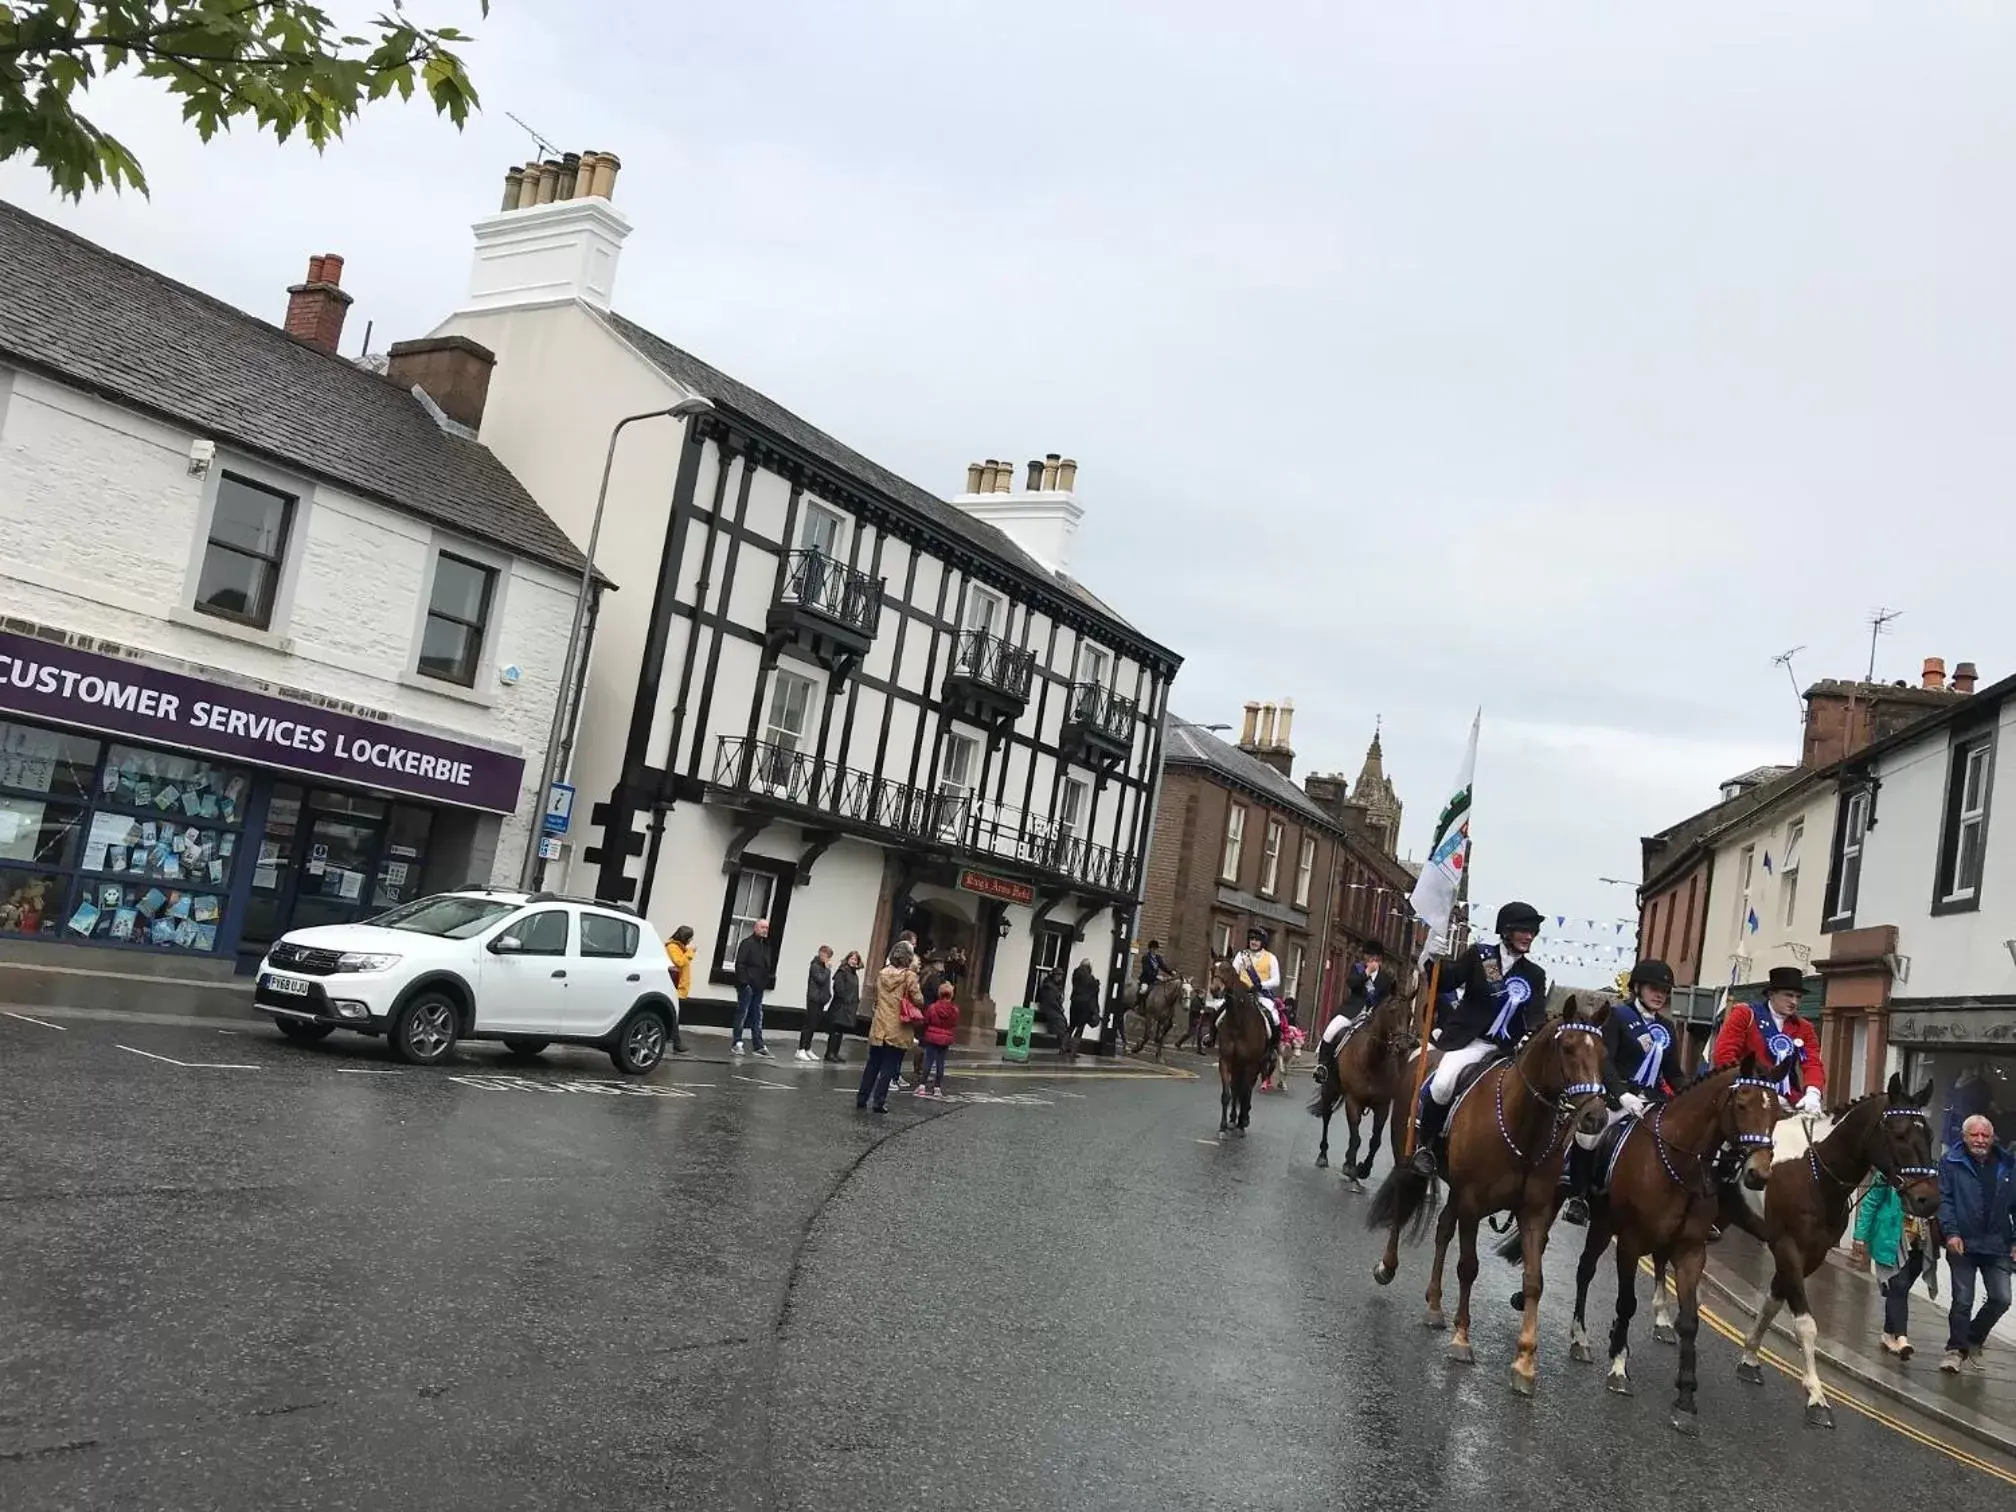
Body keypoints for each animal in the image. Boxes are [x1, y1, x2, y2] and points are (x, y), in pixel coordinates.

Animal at [1209, 963, 1257, 1128]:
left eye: (1228, 970)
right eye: (1213, 969)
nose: (1215, 989)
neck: (1238, 1023)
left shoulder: (1249, 1064)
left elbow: (1245, 1092)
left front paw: (1242, 1121)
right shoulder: (1225, 1060)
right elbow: (1227, 1094)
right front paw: (1223, 1125)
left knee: (1246, 1090)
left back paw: (1243, 1117)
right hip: (1237, 1065)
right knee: (1236, 1088)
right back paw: (1234, 1116)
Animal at [1306, 971, 1419, 1193]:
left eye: (1410, 1015)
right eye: (1392, 1011)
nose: (1403, 1046)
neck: (1373, 1060)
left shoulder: (1383, 1105)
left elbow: (1375, 1141)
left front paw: (1363, 1169)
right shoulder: (1353, 1101)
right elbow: (1356, 1138)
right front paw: (1350, 1167)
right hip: (1329, 1089)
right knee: (1327, 1117)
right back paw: (1323, 1155)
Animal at [1362, 1008, 1612, 1395]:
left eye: (1603, 1054)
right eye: (1568, 1049)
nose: (1595, 1117)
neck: (1523, 1125)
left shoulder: (1533, 1213)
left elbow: (1534, 1281)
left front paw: (1524, 1362)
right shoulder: (1472, 1203)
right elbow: (1468, 1267)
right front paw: (1462, 1339)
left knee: (1442, 1230)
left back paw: (1434, 1305)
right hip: (1408, 1159)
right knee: (1405, 1207)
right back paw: (1387, 1267)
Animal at [1725, 1080, 1943, 1435]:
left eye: (1931, 1135)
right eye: (1898, 1133)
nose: (1929, 1200)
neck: (1813, 1172)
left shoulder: (1811, 1254)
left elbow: (1773, 1303)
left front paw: (1750, 1358)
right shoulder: (1787, 1246)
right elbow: (1806, 1325)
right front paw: (1817, 1396)